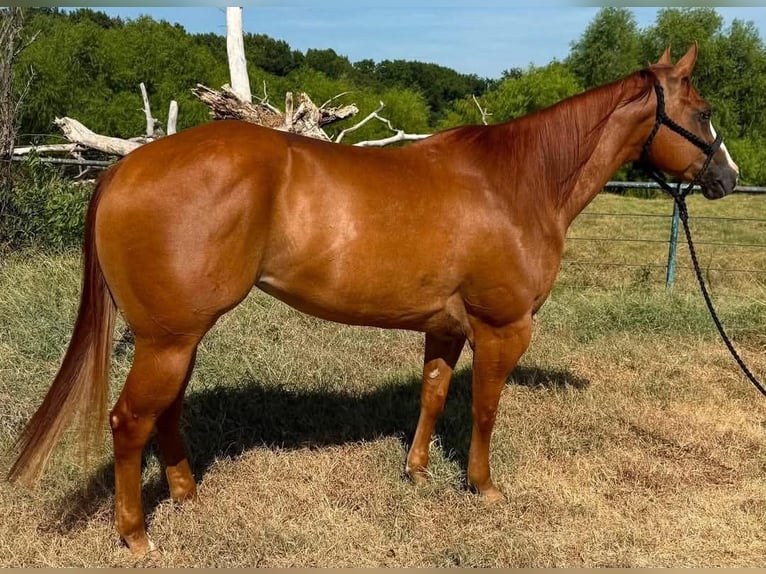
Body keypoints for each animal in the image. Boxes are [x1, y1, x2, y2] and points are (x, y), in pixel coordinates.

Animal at [9, 44, 738, 555]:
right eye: (703, 112)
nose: (729, 178)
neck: (516, 182)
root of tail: (126, 167)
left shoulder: (446, 327)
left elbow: (434, 395)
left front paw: (416, 473)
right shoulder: (503, 327)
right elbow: (484, 410)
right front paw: (483, 487)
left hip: (179, 337)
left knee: (167, 413)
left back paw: (187, 497)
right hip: (167, 339)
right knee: (130, 421)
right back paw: (136, 535)